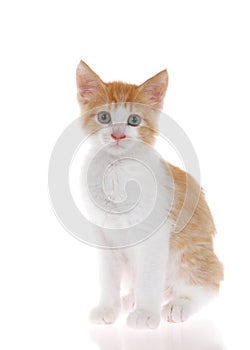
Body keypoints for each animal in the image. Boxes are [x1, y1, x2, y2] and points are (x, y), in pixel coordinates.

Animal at [75, 60, 223, 328]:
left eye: (134, 120)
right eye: (104, 117)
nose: (118, 135)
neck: (117, 171)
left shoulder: (155, 234)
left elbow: (149, 276)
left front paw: (145, 314)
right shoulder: (104, 236)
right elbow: (108, 276)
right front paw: (108, 308)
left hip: (193, 254)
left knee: (208, 284)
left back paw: (178, 304)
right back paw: (130, 298)